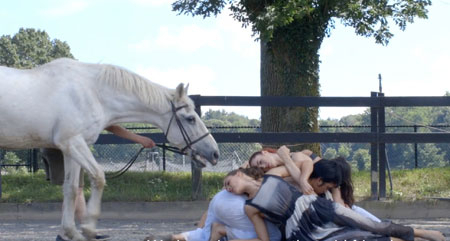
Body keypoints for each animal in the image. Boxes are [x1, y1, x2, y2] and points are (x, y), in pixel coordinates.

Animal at [0, 58, 219, 239]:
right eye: (190, 119)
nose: (214, 153)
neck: (92, 92)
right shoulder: (73, 142)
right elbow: (98, 177)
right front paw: (89, 228)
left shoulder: (71, 148)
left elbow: (71, 189)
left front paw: (71, 232)